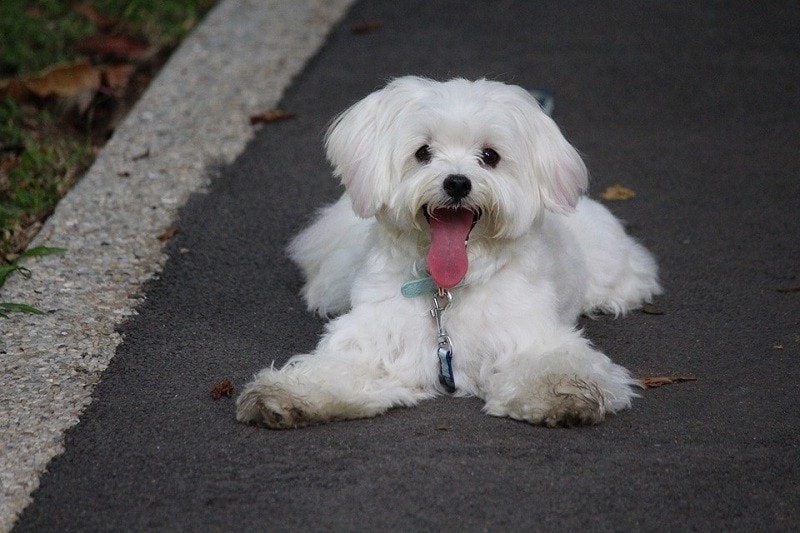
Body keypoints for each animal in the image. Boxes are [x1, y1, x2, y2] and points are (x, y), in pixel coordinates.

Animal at [238, 77, 664, 428]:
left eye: (489, 156)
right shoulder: (378, 340)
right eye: (423, 152)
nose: (457, 182)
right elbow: (338, 370)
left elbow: (550, 365)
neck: (449, 289)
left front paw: (562, 393)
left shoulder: (526, 335)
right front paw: (290, 394)